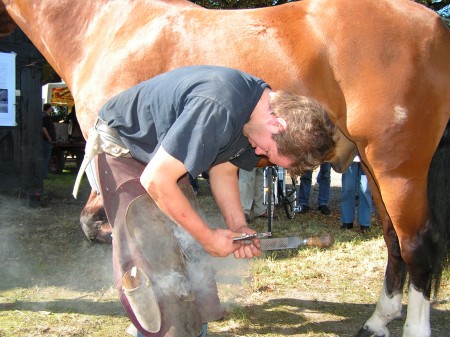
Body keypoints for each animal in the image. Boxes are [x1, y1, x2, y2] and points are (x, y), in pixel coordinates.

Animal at [1, 0, 448, 336]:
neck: (107, 26)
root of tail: (436, 24)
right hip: (374, 168)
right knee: (393, 242)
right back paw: (378, 320)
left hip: (397, 168)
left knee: (417, 246)